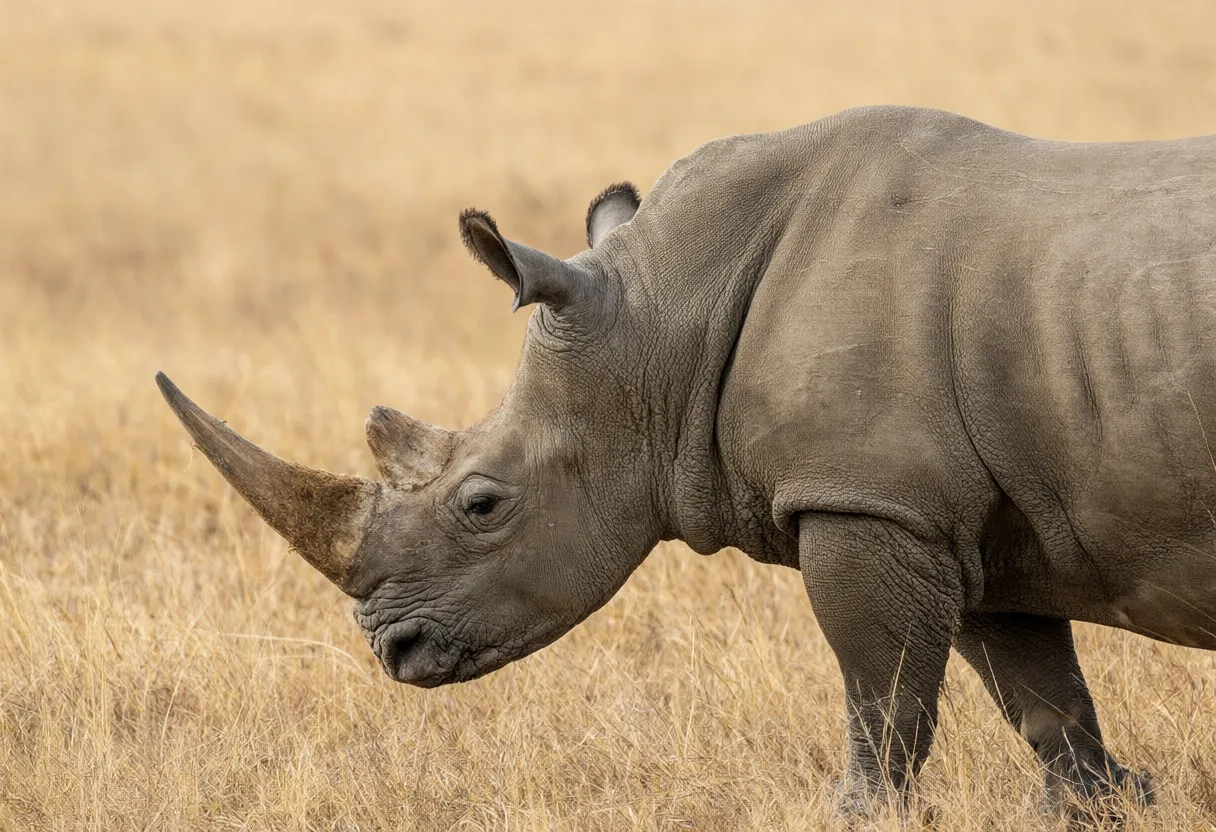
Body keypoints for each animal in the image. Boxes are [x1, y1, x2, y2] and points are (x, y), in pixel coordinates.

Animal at [156, 105, 1216, 818]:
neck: (666, 315)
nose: (394, 652)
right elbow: (1043, 700)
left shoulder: (865, 497)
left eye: (484, 504)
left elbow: (883, 695)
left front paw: (860, 813)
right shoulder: (959, 505)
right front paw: (1110, 802)